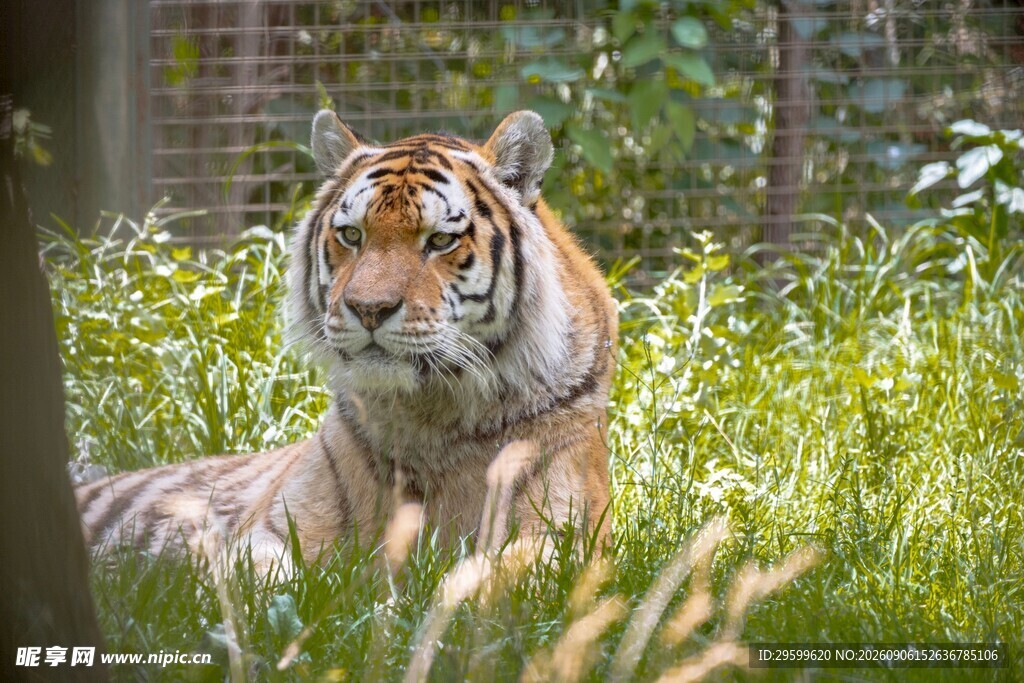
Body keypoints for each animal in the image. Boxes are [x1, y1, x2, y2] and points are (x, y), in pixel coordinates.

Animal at [75, 110, 618, 569]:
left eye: (441, 240)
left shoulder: (562, 533)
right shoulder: (275, 525)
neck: (431, 416)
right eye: (352, 235)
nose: (368, 309)